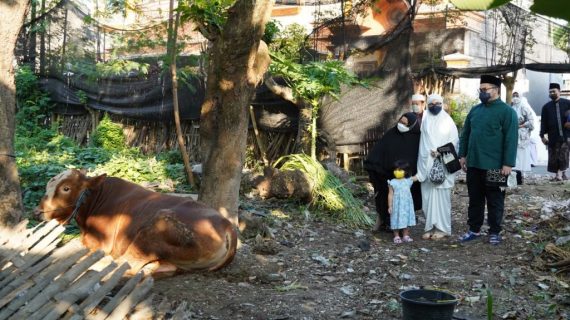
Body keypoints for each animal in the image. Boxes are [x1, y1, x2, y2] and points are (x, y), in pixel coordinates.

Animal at [34, 168, 237, 276]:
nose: (37, 212)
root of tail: (226, 224)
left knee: (126, 264)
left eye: (66, 188)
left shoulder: (101, 241)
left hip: (155, 227)